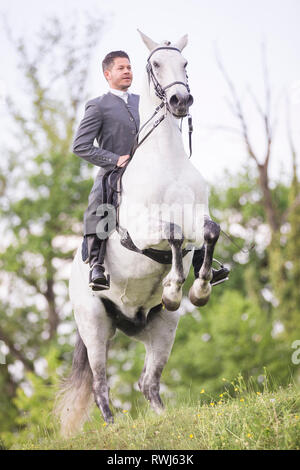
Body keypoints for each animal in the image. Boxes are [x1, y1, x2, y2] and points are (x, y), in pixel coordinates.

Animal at [55, 32, 220, 436]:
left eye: (185, 64)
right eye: (155, 65)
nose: (180, 101)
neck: (167, 161)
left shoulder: (198, 219)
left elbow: (209, 232)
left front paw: (200, 288)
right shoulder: (144, 233)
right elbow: (173, 236)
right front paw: (175, 287)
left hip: (162, 327)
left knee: (148, 382)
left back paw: (163, 419)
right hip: (95, 326)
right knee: (100, 384)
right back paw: (113, 427)